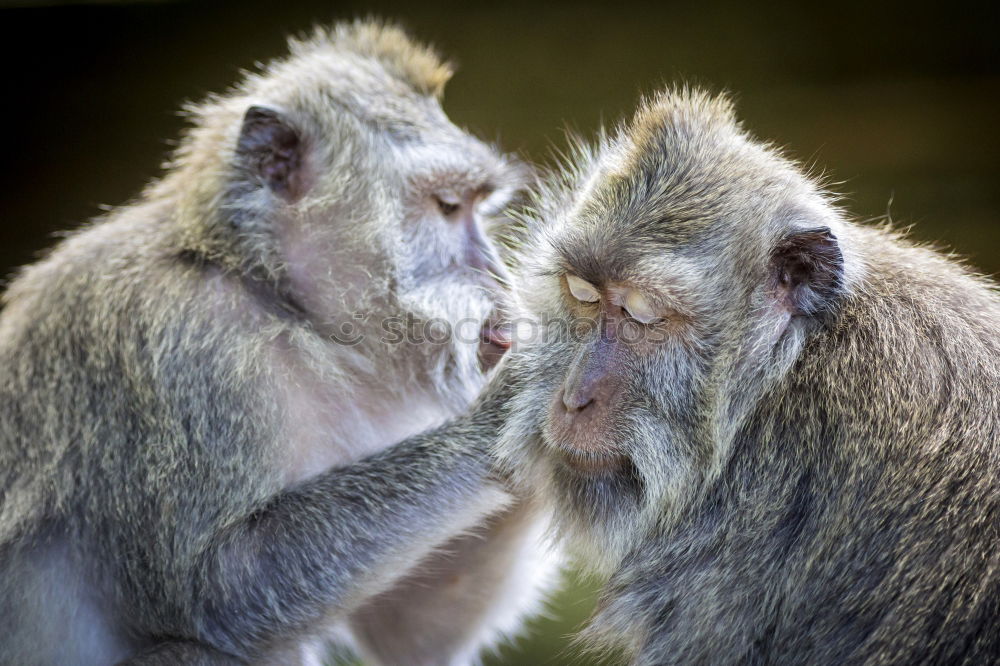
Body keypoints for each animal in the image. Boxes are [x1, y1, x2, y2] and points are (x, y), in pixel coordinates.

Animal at [0, 20, 560, 664]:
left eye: (474, 208)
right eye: (447, 206)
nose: (495, 273)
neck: (271, 294)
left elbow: (410, 631)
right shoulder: (174, 347)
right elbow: (218, 590)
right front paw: (515, 405)